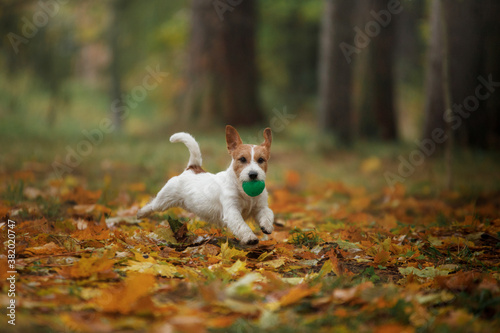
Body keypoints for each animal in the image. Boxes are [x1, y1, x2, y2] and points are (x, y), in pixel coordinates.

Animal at [137, 124, 276, 244]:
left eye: (261, 160)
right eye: (242, 159)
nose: (253, 174)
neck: (242, 189)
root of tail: (192, 168)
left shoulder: (260, 207)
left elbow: (268, 214)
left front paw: (267, 226)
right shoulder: (232, 211)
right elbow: (241, 225)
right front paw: (250, 237)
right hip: (164, 200)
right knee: (152, 205)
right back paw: (141, 213)